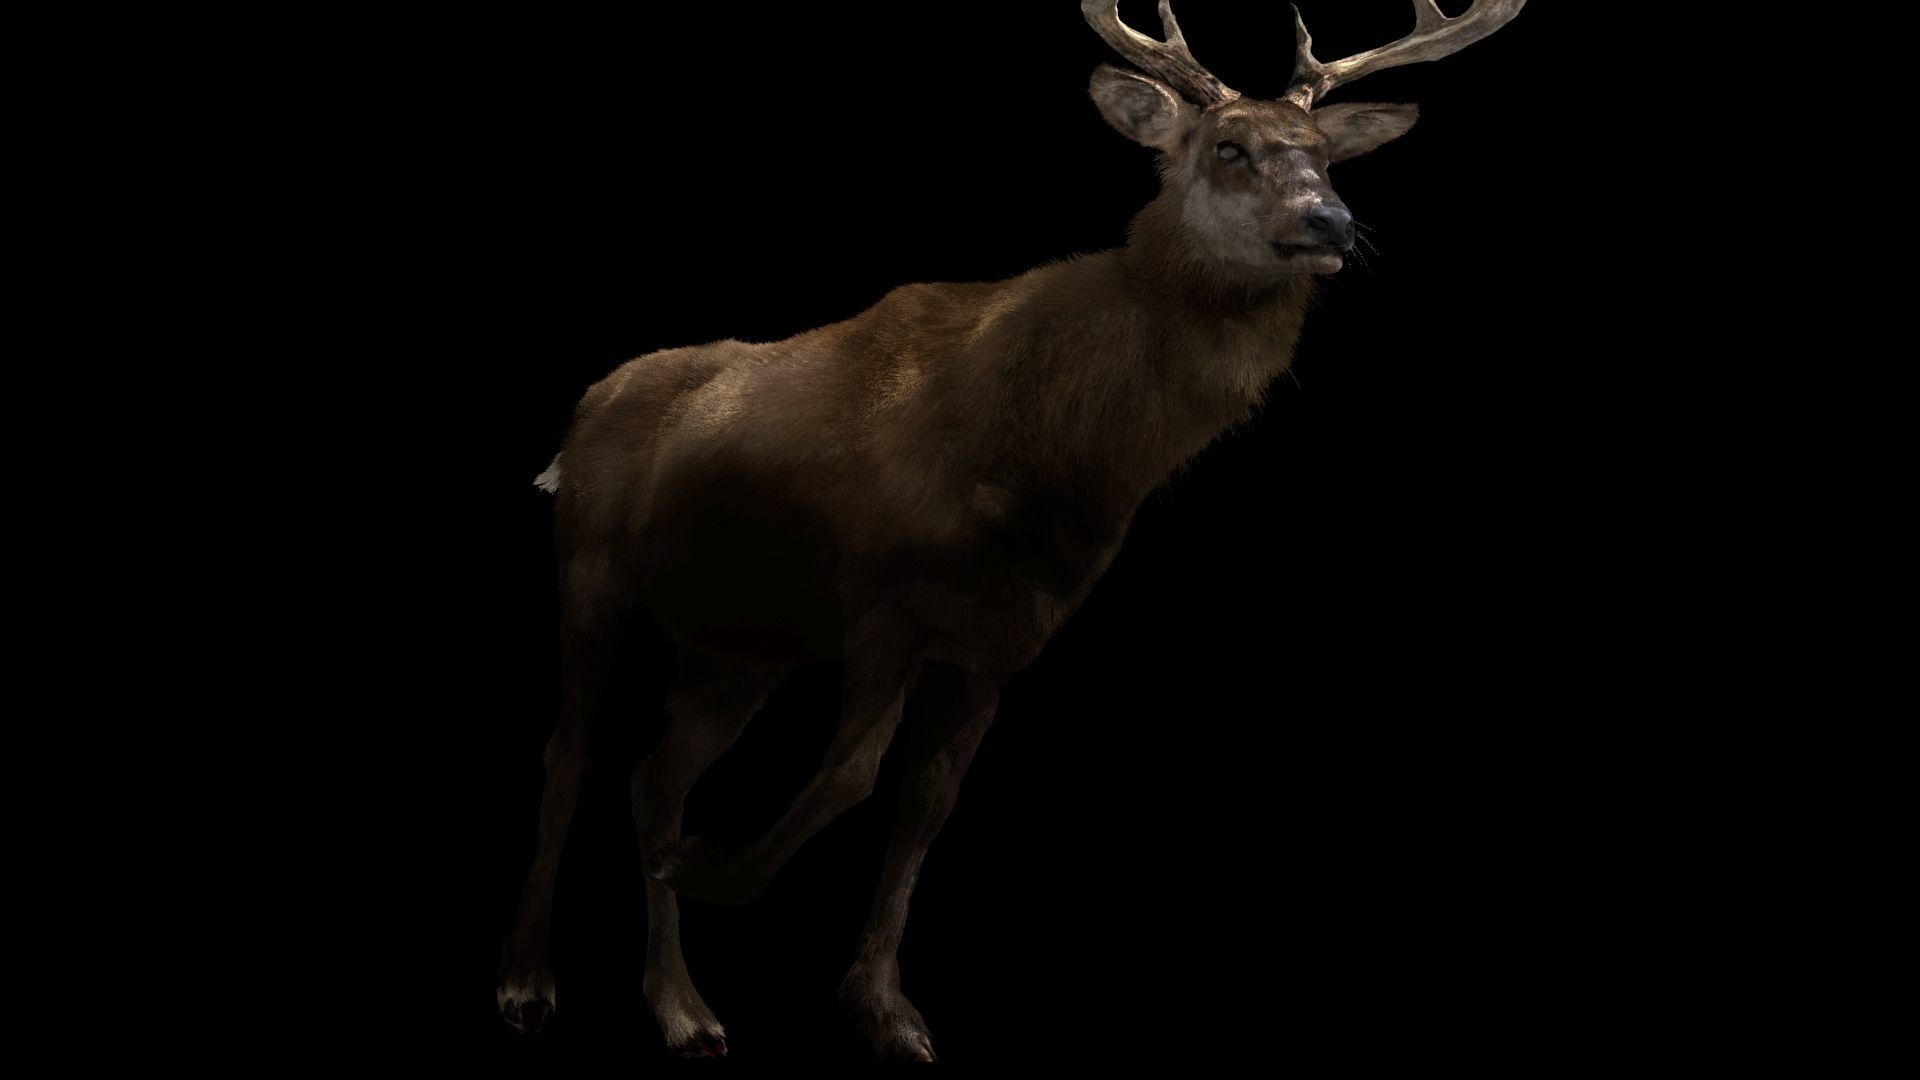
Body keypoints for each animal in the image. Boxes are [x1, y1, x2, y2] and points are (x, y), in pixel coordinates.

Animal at [497, 0, 1528, 1061]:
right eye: (1227, 147)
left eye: (1328, 156)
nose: (1331, 223)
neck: (1061, 464)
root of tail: (579, 419)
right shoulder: (884, 597)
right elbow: (852, 773)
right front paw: (708, 873)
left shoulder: (1001, 639)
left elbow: (929, 802)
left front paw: (886, 1009)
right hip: (590, 568)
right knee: (569, 753)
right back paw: (530, 985)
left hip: (737, 650)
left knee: (652, 779)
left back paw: (683, 1008)